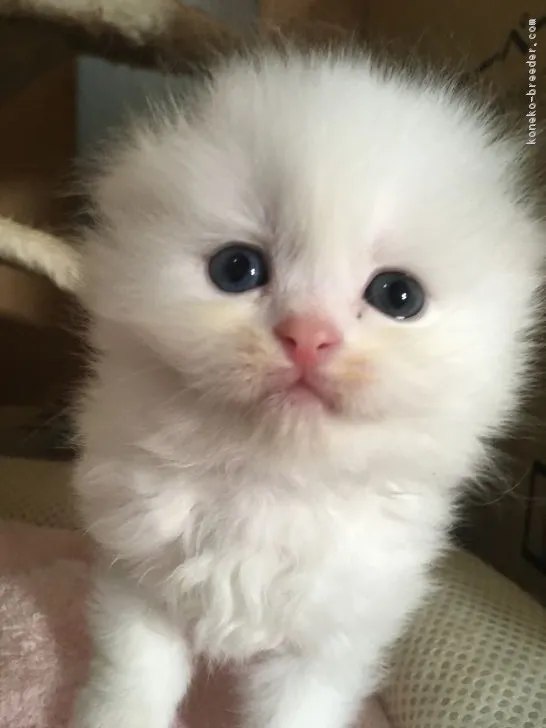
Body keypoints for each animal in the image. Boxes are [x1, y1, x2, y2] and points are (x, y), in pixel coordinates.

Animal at [71, 45, 544, 728]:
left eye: (398, 295)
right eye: (236, 269)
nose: (307, 336)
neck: (269, 489)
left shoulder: (327, 647)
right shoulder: (135, 585)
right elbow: (129, 688)